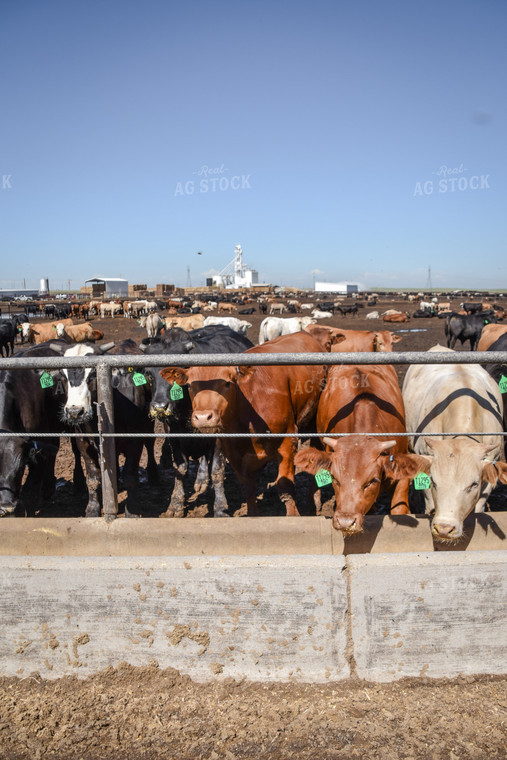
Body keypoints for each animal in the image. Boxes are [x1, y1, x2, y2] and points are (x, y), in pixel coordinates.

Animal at [140, 324, 253, 520]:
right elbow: (180, 468)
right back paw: (201, 480)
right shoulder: (173, 434)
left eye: (175, 375)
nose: (160, 406)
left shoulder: (219, 434)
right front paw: (176, 503)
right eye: (149, 374)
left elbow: (217, 470)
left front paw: (220, 507)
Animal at [163, 332, 330, 516]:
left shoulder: (288, 441)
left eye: (227, 383)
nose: (203, 417)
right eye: (190, 385)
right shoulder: (233, 452)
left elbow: (285, 486)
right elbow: (248, 490)